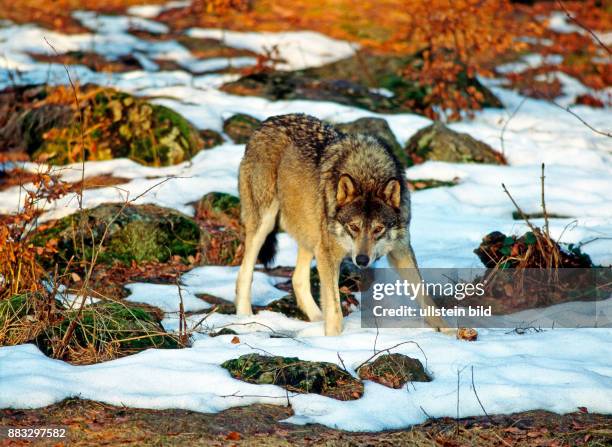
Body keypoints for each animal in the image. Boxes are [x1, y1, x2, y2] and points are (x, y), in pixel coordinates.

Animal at [237, 115, 452, 336]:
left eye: (378, 229)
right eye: (354, 227)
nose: (362, 260)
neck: (368, 173)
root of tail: (267, 122)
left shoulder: (400, 251)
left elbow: (425, 296)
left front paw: (448, 332)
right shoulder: (328, 254)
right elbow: (335, 310)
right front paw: (334, 338)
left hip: (311, 234)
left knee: (298, 280)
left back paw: (316, 320)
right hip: (266, 222)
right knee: (244, 274)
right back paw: (245, 318)